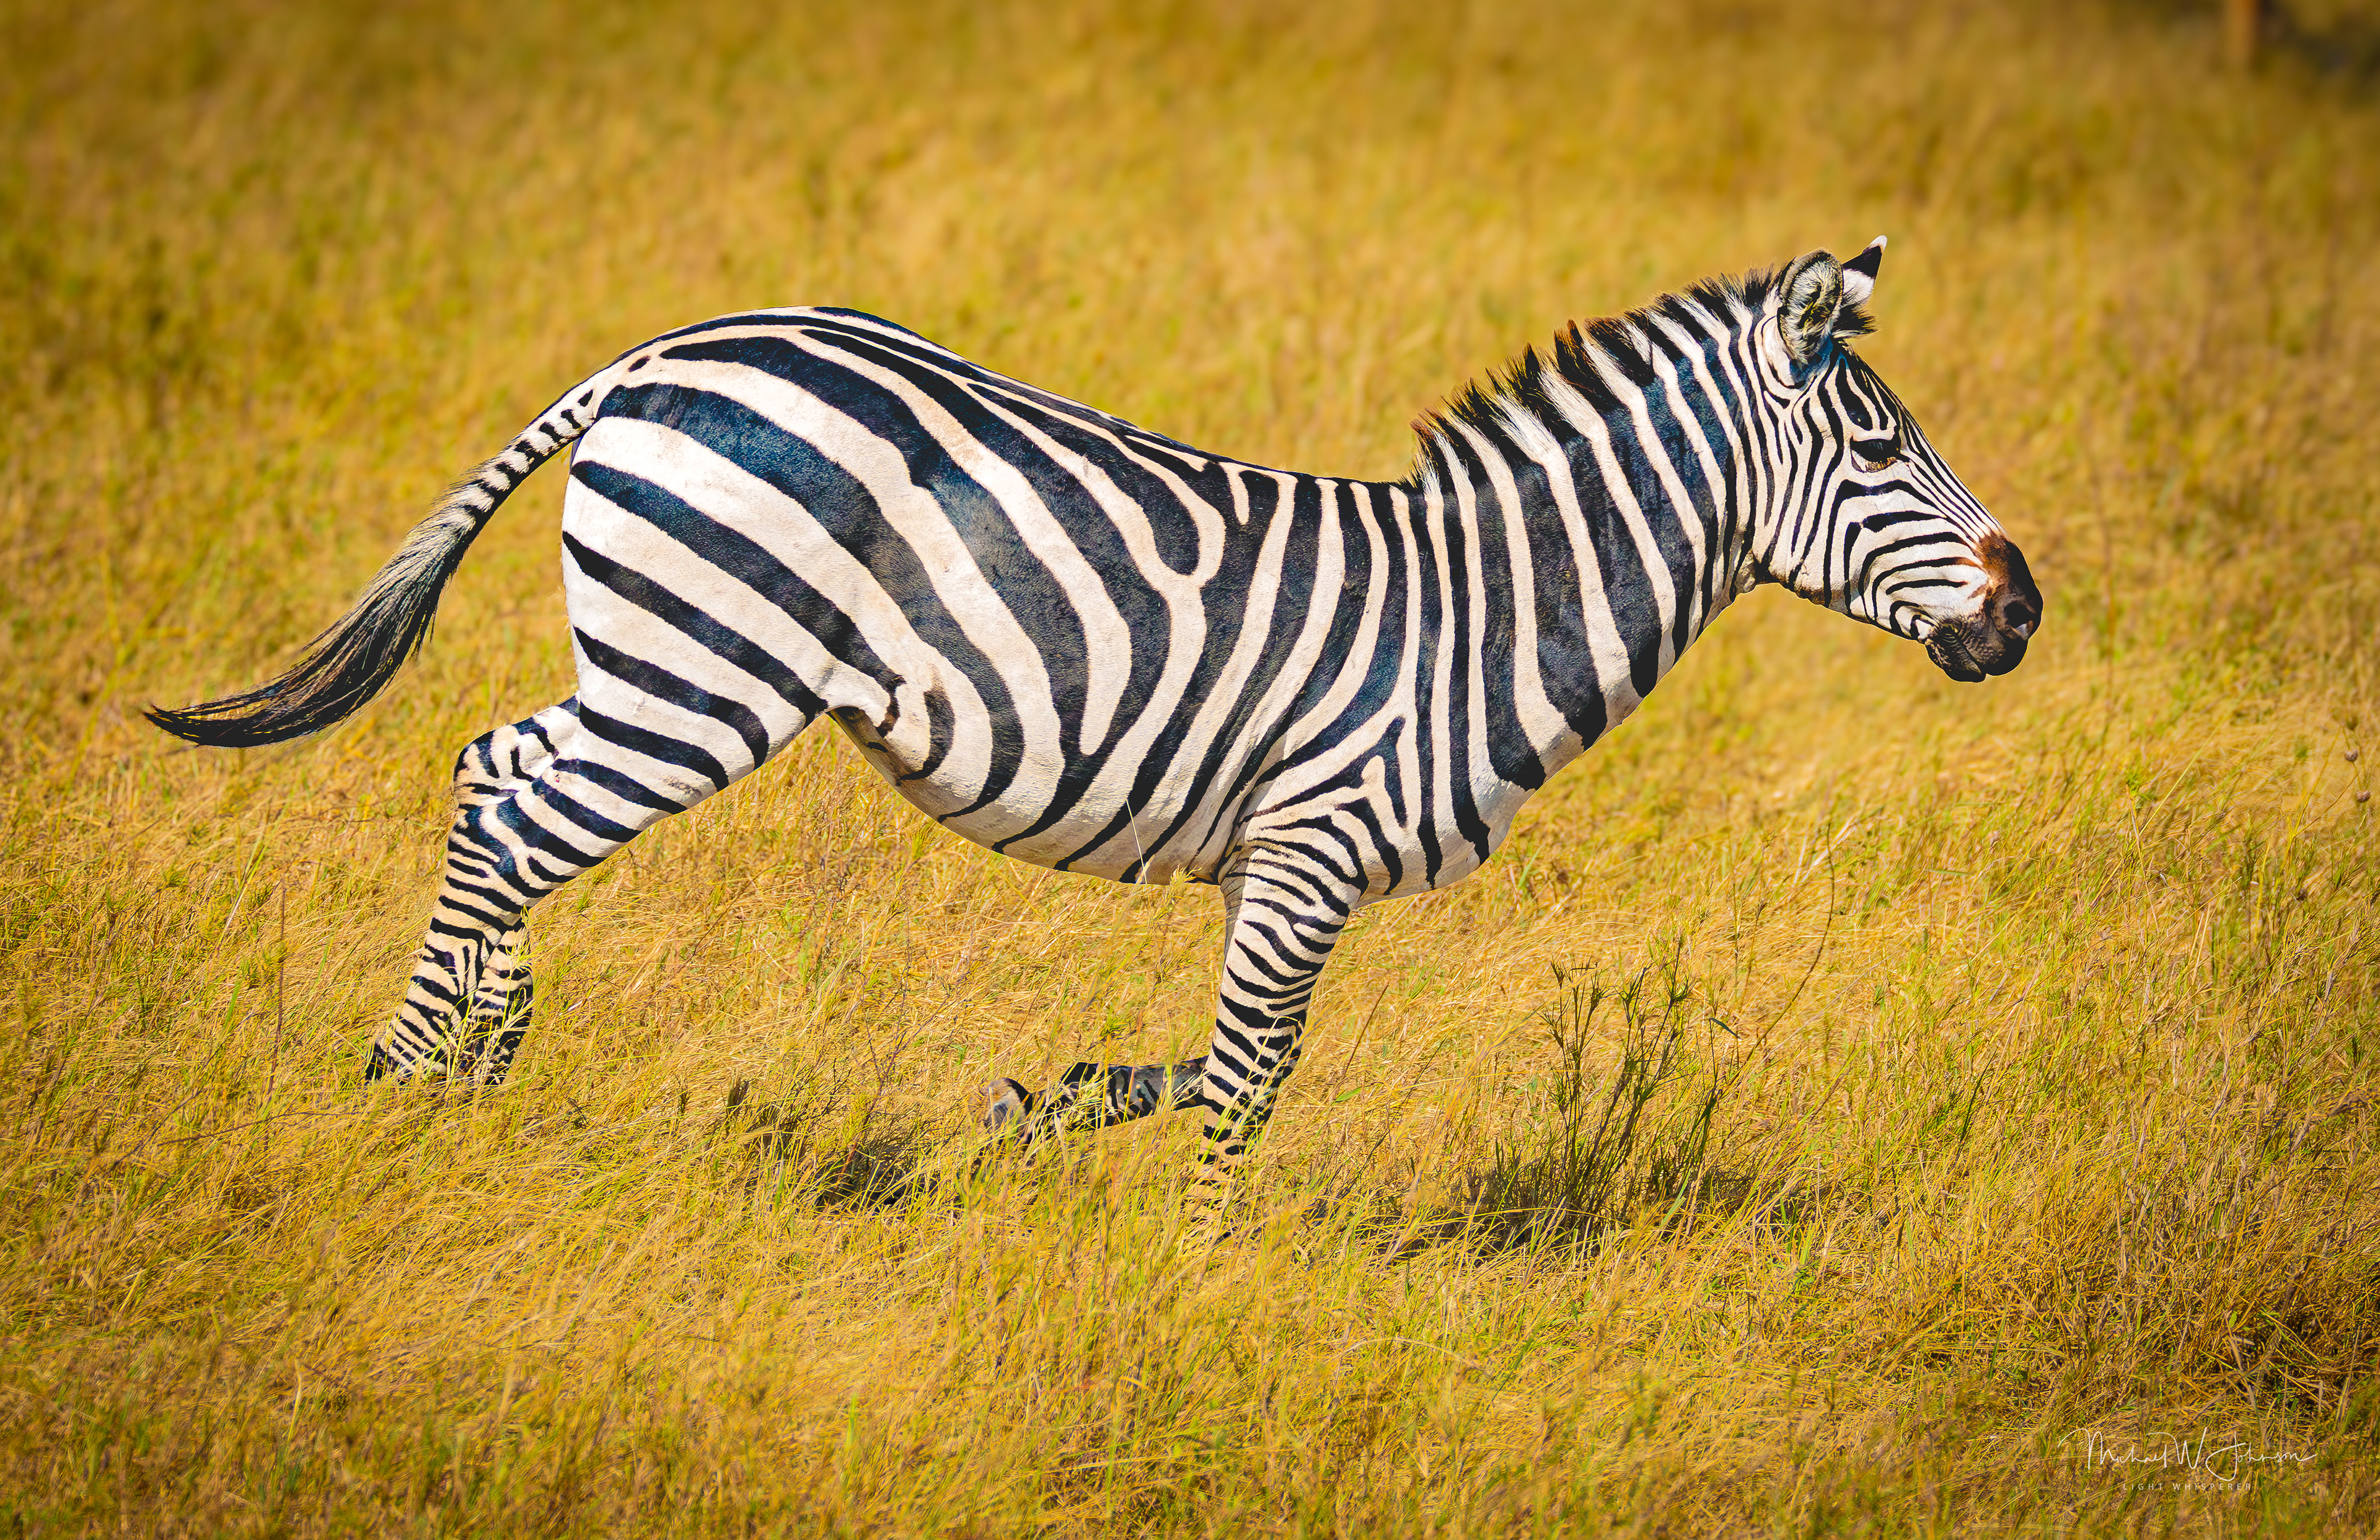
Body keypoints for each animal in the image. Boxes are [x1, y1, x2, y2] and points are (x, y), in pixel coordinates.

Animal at [149, 238, 2041, 1192]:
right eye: (1876, 447)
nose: (2024, 608)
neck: (1489, 612)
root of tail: (666, 351)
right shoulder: (1310, 846)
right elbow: (1255, 1077)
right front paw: (1213, 1275)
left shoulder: (1276, 869)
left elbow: (1218, 1058)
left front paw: (1045, 1106)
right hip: (706, 669)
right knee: (512, 806)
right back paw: (413, 1069)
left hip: (656, 658)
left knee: (499, 771)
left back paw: (478, 1051)